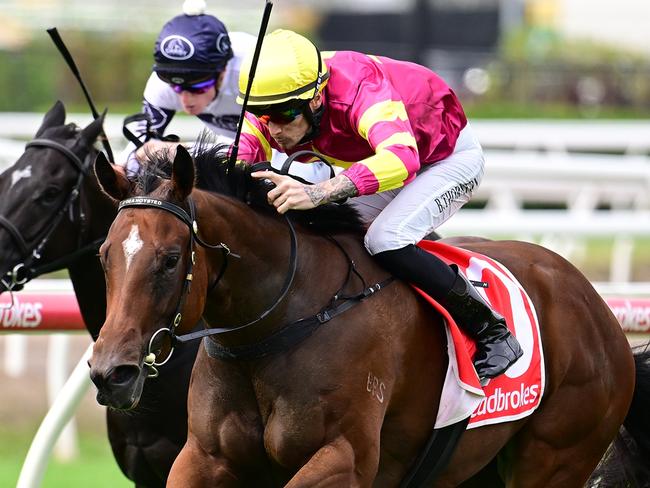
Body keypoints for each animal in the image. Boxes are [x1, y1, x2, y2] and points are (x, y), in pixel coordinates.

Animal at [87, 143, 648, 486]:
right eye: (104, 254)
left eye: (169, 259)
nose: (111, 373)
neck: (280, 321)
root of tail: (596, 306)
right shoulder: (204, 457)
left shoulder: (345, 458)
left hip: (556, 455)